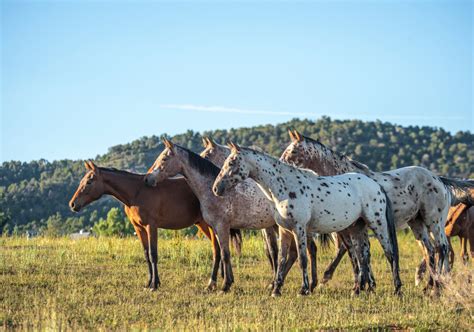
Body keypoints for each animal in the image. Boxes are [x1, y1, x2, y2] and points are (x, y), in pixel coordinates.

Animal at [144, 140, 308, 294]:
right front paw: (224, 283)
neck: (211, 190)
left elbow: (224, 255)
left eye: (164, 158)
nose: (147, 179)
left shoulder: (222, 227)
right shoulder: (216, 229)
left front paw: (225, 286)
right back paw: (279, 284)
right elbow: (223, 254)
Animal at [213, 143, 402, 296]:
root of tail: (376, 185)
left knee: (389, 254)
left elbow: (303, 258)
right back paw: (359, 290)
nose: (216, 188)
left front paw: (303, 289)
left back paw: (396, 289)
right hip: (356, 228)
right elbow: (281, 258)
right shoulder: (285, 230)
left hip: (377, 225)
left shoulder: (299, 229)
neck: (284, 187)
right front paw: (276, 289)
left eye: (231, 162)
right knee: (361, 256)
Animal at [282, 130, 474, 294]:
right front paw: (367, 285)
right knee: (430, 251)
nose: (282, 166)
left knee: (442, 248)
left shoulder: (352, 229)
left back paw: (437, 287)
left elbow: (357, 254)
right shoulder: (352, 230)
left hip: (434, 221)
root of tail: (439, 179)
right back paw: (430, 285)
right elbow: (360, 254)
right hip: (417, 224)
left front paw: (357, 284)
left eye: (293, 152)